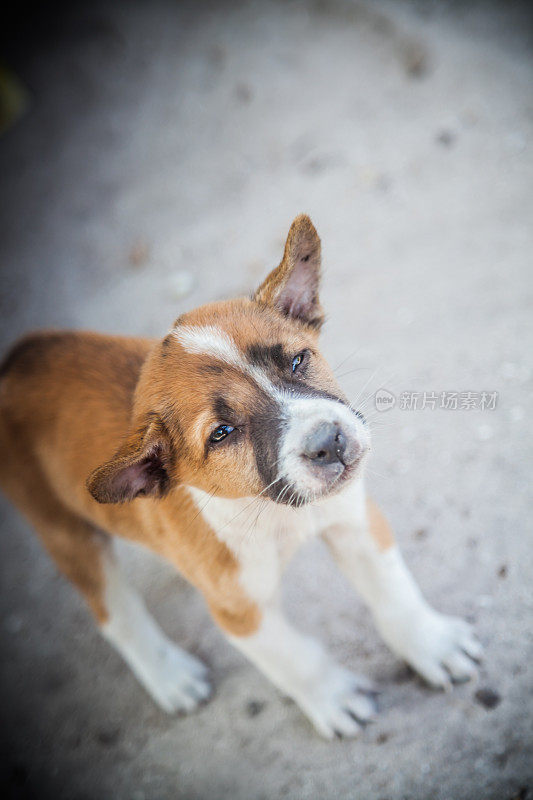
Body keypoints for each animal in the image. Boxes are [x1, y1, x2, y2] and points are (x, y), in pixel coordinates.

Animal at [0, 214, 482, 736]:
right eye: (222, 433)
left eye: (297, 360)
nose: (329, 441)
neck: (271, 509)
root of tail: (18, 359)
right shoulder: (238, 610)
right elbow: (292, 659)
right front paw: (334, 698)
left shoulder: (353, 522)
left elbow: (393, 590)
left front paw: (432, 643)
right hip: (63, 530)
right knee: (113, 610)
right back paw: (169, 676)